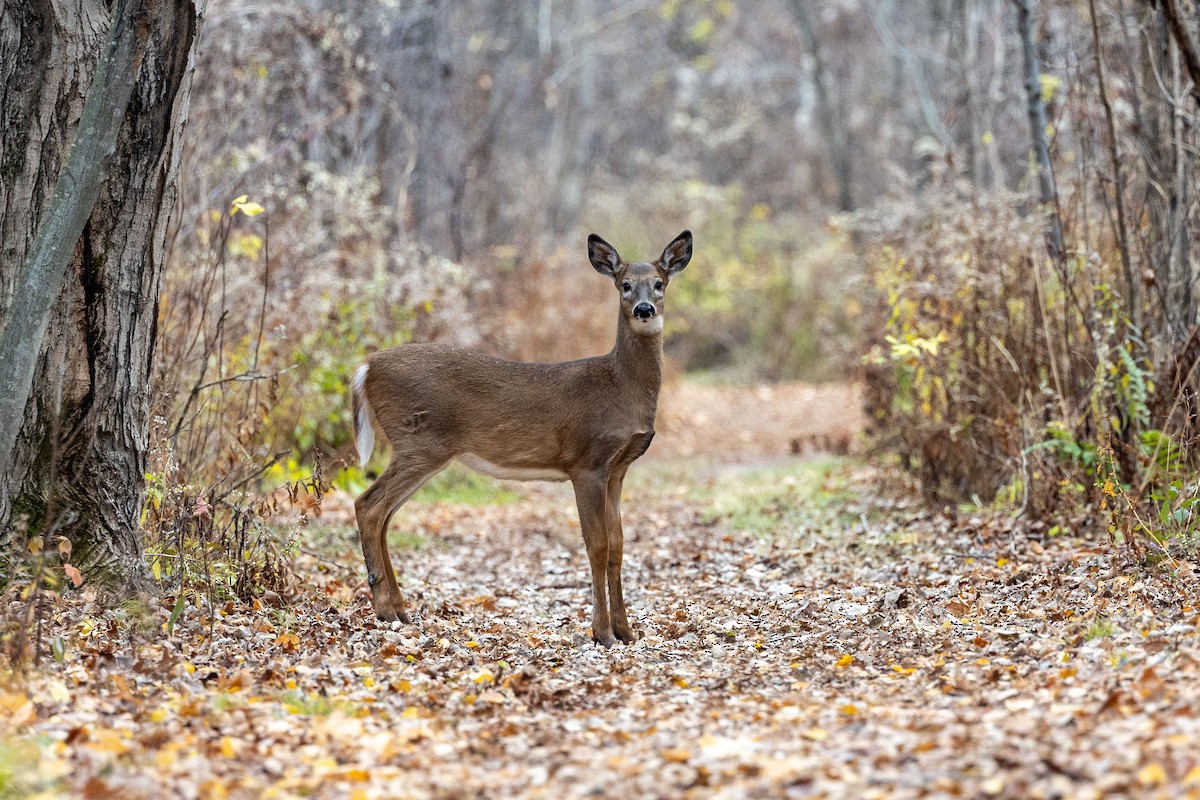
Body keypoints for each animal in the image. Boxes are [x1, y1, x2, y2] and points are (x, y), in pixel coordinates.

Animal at [350, 230, 692, 647]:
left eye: (659, 283)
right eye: (625, 285)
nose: (645, 309)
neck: (620, 389)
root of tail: (366, 367)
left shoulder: (618, 469)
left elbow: (619, 545)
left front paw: (627, 631)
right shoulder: (587, 461)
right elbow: (597, 545)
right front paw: (602, 633)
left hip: (422, 449)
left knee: (384, 516)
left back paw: (400, 609)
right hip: (419, 440)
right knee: (369, 505)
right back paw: (385, 610)